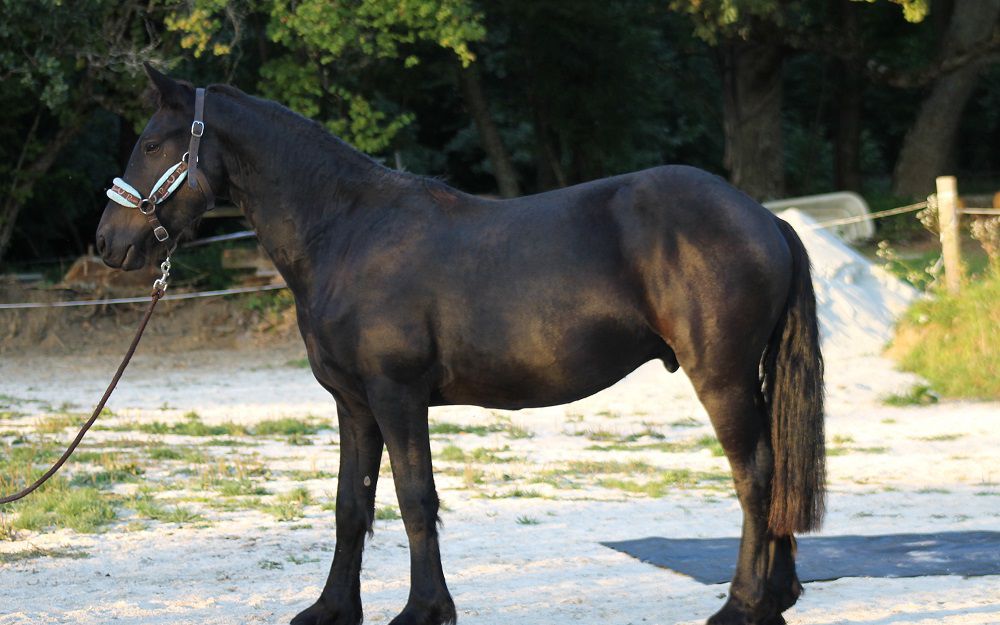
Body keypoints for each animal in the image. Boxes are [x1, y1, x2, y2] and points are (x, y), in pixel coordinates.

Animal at [97, 64, 825, 625]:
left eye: (154, 144)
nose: (105, 242)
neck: (348, 229)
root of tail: (765, 218)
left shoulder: (397, 396)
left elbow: (416, 500)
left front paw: (424, 610)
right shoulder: (354, 405)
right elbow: (351, 506)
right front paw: (332, 609)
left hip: (722, 375)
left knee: (756, 475)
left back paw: (742, 604)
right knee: (777, 470)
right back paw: (777, 596)